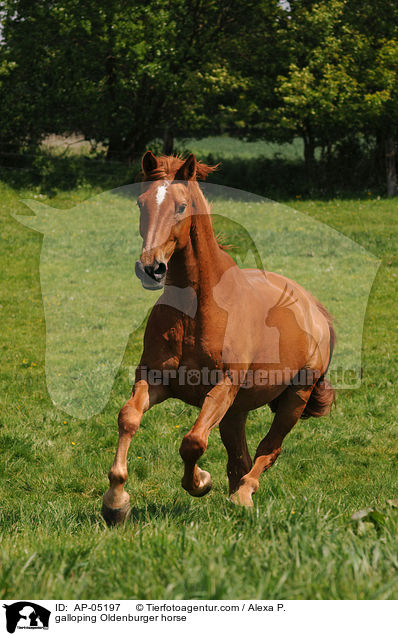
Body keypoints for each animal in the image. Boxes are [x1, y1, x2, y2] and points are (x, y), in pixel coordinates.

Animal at [101, 152, 334, 524]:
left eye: (181, 206)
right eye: (140, 203)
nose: (151, 268)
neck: (195, 311)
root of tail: (314, 308)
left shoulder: (222, 387)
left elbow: (193, 441)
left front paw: (200, 482)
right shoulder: (154, 379)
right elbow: (129, 418)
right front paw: (115, 501)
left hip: (294, 398)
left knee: (268, 450)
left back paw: (242, 495)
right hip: (237, 410)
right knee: (240, 457)